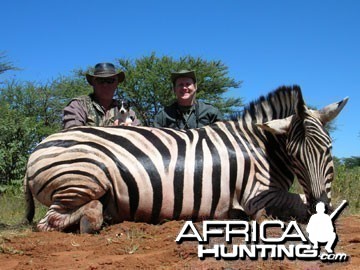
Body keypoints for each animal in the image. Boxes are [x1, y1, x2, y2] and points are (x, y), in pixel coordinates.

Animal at [23, 86, 348, 232]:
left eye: (328, 149)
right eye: (294, 156)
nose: (321, 204)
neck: (261, 147)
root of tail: (36, 148)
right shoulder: (257, 194)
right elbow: (293, 204)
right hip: (84, 179)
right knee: (51, 221)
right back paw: (91, 220)